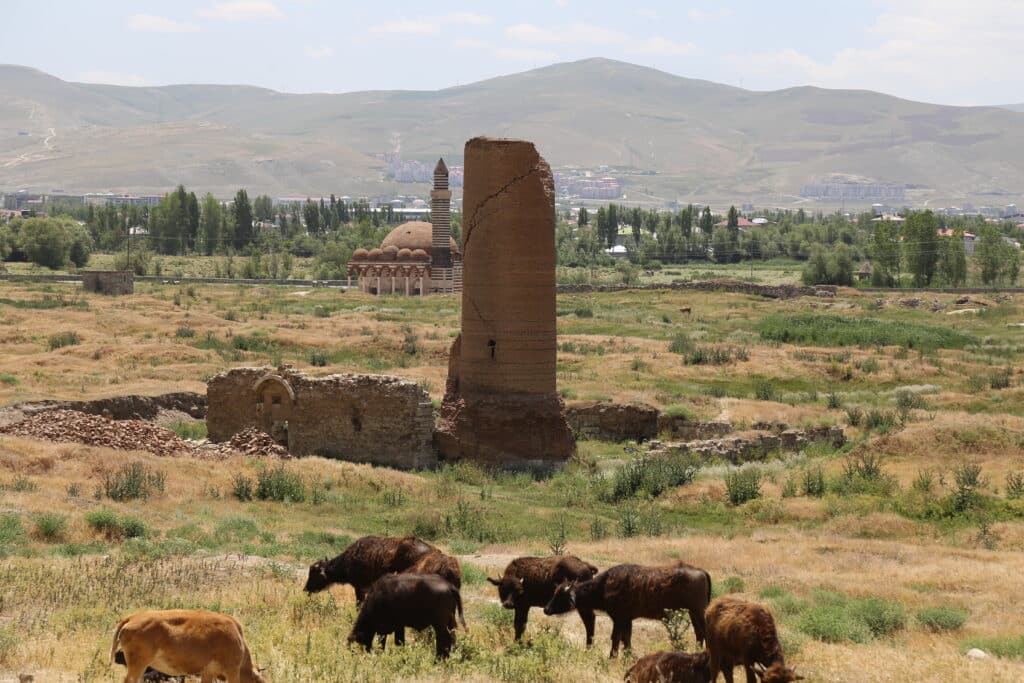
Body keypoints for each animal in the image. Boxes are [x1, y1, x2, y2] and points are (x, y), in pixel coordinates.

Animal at [544, 561, 712, 655]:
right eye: (554, 592)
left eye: (560, 595)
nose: (546, 609)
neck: (604, 585)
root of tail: (701, 571)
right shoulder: (627, 620)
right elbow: (626, 640)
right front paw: (627, 656)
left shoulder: (618, 619)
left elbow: (615, 638)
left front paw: (612, 657)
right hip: (693, 613)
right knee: (699, 633)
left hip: (698, 611)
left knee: (704, 632)